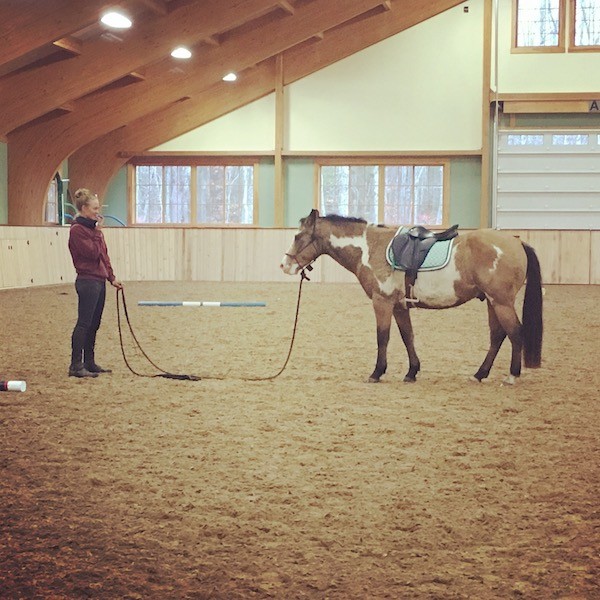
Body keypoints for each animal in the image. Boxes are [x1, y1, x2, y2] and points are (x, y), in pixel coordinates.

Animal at [280, 209, 543, 384]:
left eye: (297, 237)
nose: (284, 265)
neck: (370, 248)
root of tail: (516, 242)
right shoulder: (399, 306)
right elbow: (408, 337)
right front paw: (411, 372)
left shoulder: (382, 302)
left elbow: (383, 337)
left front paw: (377, 372)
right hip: (491, 301)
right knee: (498, 336)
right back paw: (479, 374)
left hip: (501, 302)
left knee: (515, 332)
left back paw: (511, 375)